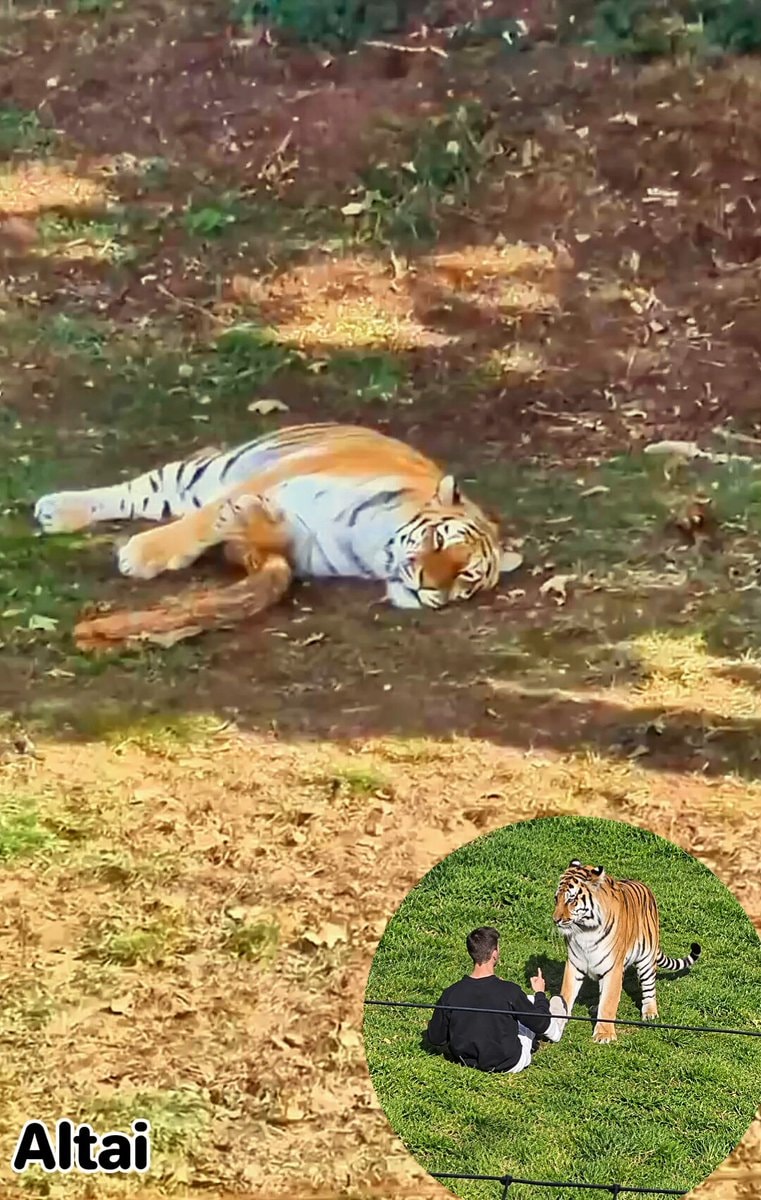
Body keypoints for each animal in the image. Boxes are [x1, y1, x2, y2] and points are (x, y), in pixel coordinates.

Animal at [34, 422, 519, 611]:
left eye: (466, 577)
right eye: (438, 542)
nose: (427, 588)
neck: (371, 548)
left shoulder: (305, 550)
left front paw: (253, 519)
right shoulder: (275, 476)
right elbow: (204, 520)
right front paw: (143, 553)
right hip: (205, 472)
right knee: (138, 491)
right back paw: (55, 509)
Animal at [553, 860, 701, 1044]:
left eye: (571, 899)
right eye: (556, 898)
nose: (556, 920)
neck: (584, 931)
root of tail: (645, 887)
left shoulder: (612, 968)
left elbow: (609, 1002)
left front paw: (604, 1035)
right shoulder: (574, 964)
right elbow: (566, 994)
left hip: (646, 960)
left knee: (649, 988)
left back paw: (650, 1013)